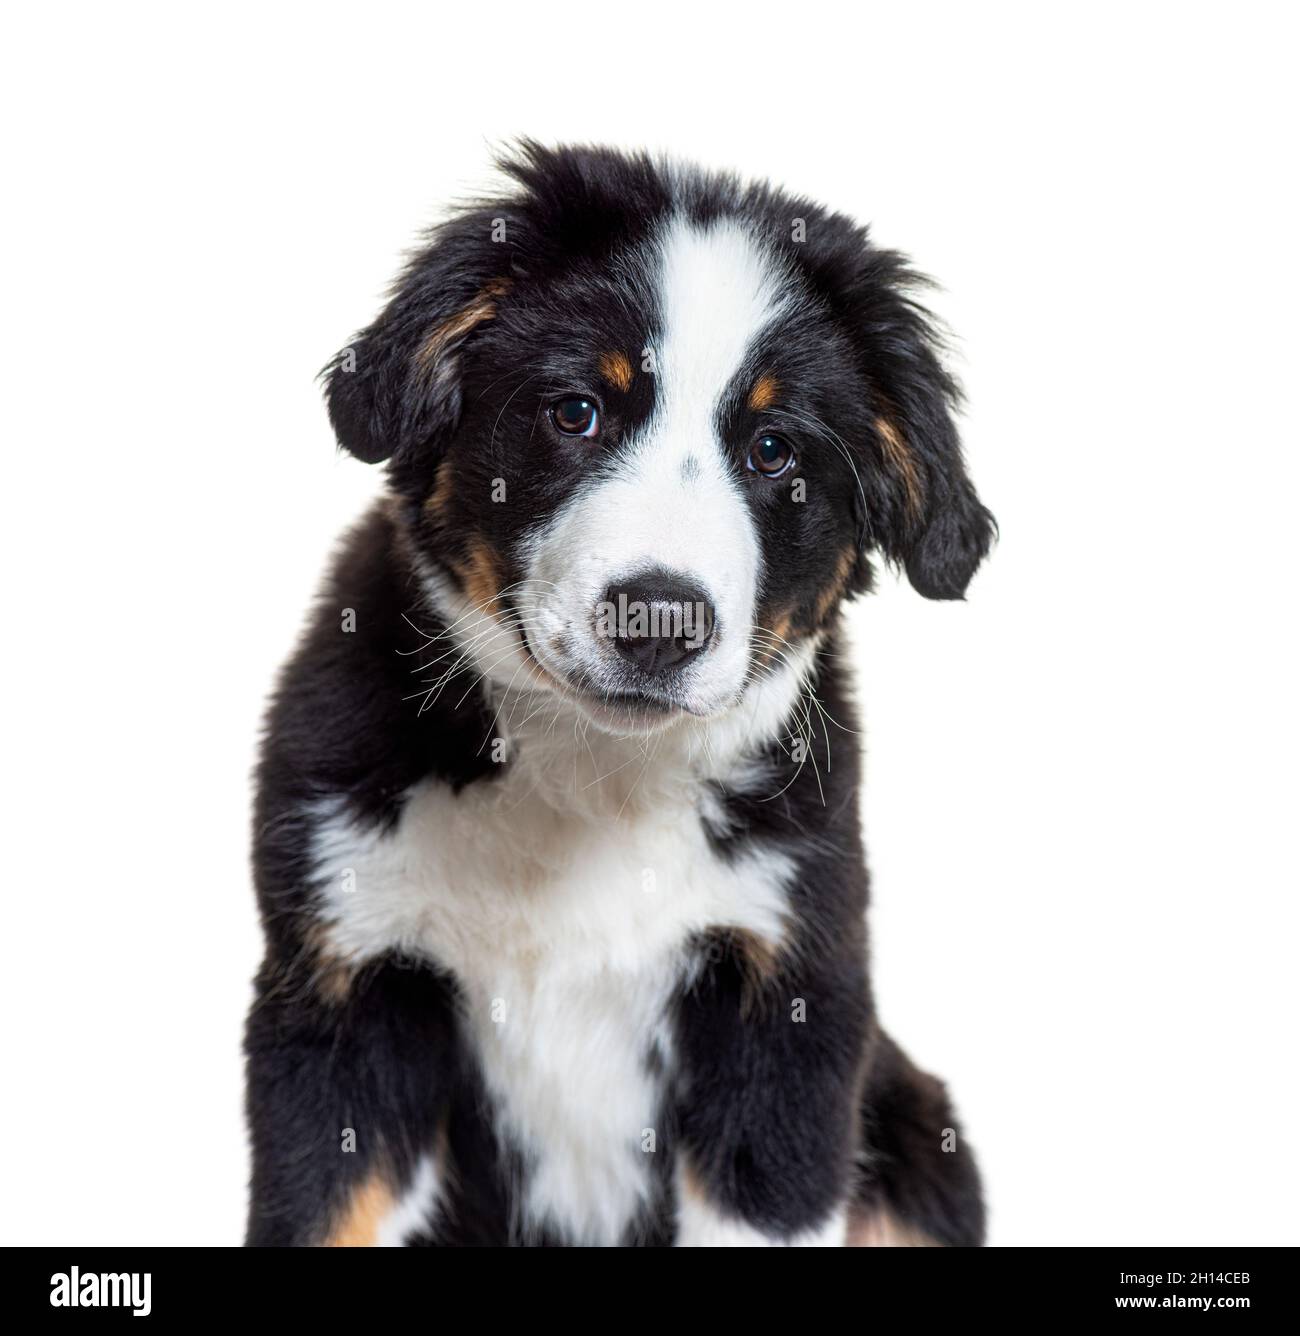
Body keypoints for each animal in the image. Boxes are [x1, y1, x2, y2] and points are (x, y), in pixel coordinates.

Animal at [245, 140, 994, 1245]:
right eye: (576, 412)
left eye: (773, 450)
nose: (659, 617)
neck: (590, 777)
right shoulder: (339, 987)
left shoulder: (787, 1006)